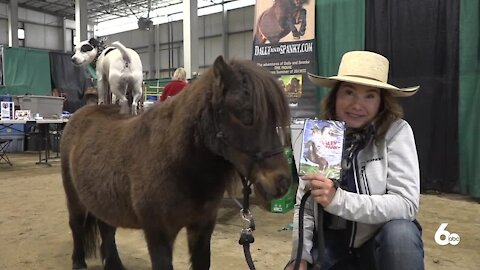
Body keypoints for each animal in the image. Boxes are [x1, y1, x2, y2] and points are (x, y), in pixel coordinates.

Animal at [60, 55, 292, 270]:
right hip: (74, 197)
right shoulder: (159, 234)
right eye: (246, 115)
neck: (176, 163)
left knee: (107, 228)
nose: (282, 182)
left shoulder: (201, 228)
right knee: (76, 224)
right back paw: (78, 262)